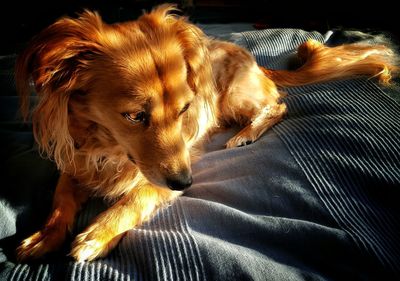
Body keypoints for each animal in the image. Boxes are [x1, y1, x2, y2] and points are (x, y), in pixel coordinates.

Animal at [14, 3, 398, 260]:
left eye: (185, 109)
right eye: (135, 116)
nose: (186, 182)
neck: (109, 148)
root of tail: (255, 61)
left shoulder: (163, 176)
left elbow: (136, 197)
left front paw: (98, 234)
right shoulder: (75, 162)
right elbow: (61, 199)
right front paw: (44, 236)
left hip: (235, 95)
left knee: (278, 105)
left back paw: (245, 134)